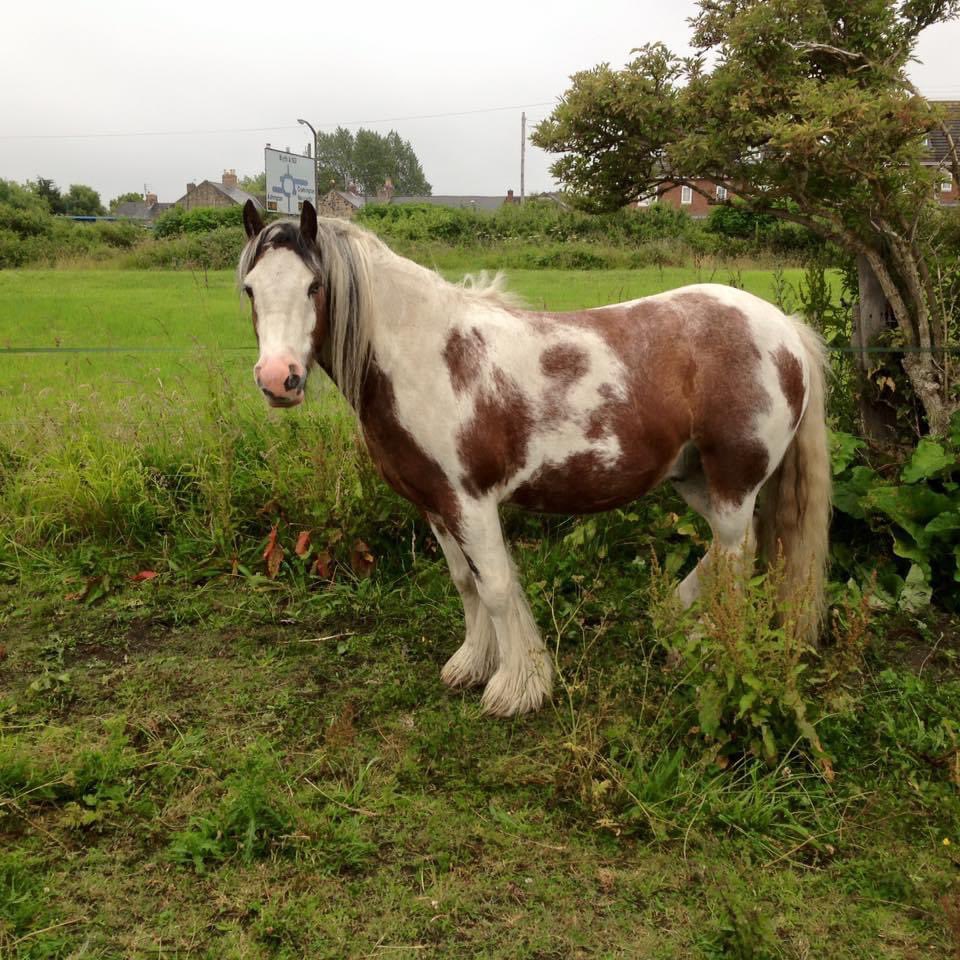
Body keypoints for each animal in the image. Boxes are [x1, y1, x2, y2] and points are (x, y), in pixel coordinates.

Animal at [238, 199, 830, 718]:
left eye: (314, 286)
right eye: (249, 289)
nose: (278, 379)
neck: (424, 355)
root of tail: (783, 326)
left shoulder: (470, 502)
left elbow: (497, 587)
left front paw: (517, 687)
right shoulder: (434, 504)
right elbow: (465, 582)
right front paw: (472, 665)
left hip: (733, 480)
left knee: (736, 557)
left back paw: (709, 643)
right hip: (694, 478)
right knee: (739, 548)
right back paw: (680, 622)